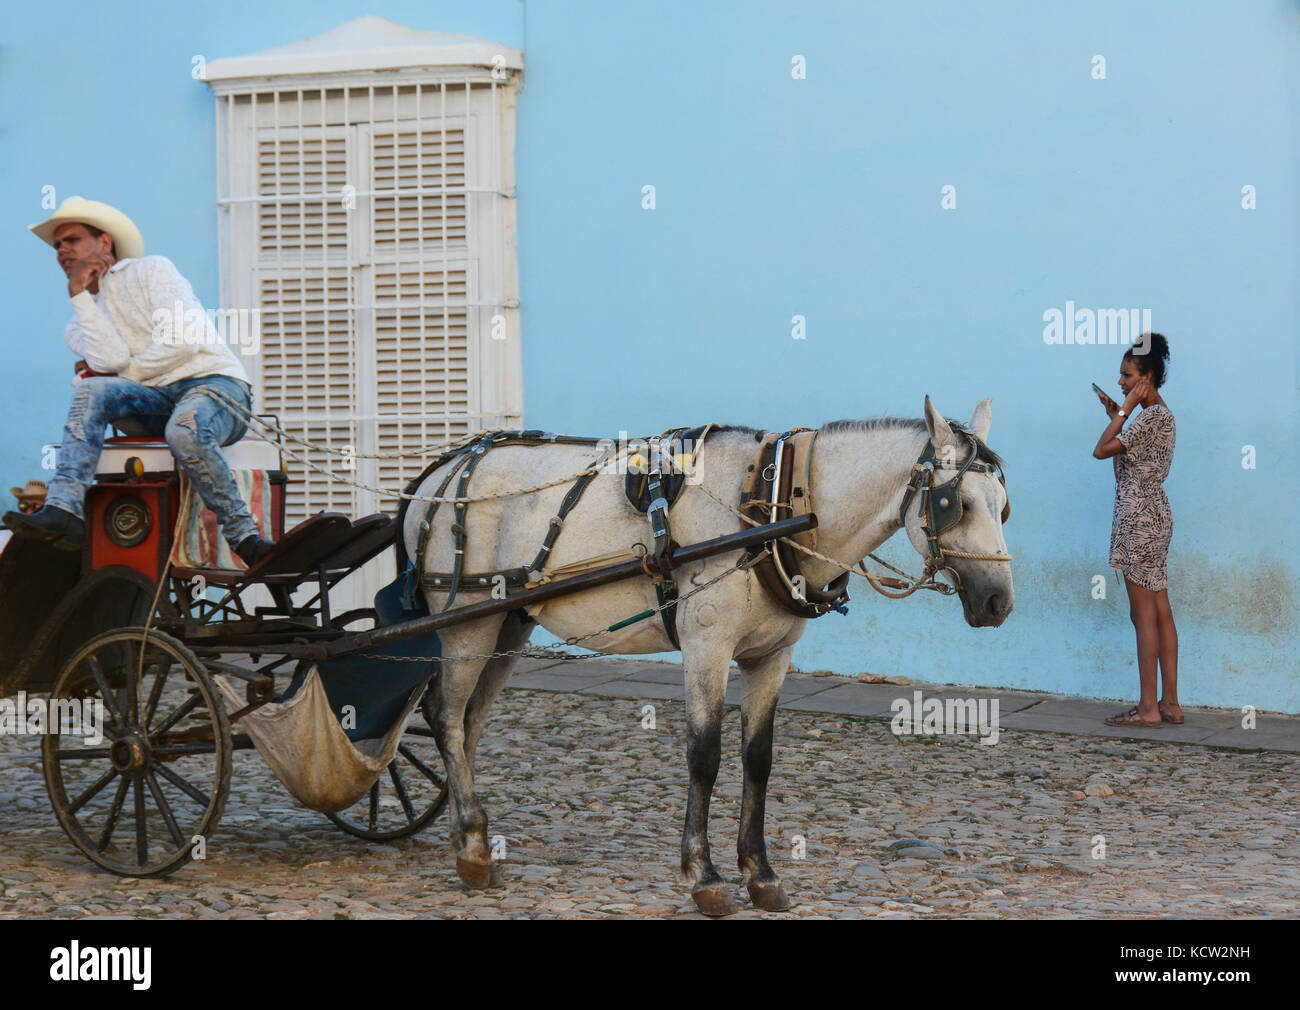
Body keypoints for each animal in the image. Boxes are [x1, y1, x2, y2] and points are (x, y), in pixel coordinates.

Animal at [400, 395, 1008, 915]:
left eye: (1003, 508)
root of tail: (440, 470)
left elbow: (757, 758)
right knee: (445, 717)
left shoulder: (772, 655)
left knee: (469, 723)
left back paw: (468, 834)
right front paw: (705, 876)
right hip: (468, 622)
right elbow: (705, 756)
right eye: (957, 504)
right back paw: (472, 849)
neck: (774, 500)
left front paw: (760, 873)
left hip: (509, 625)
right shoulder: (706, 647)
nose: (999, 601)